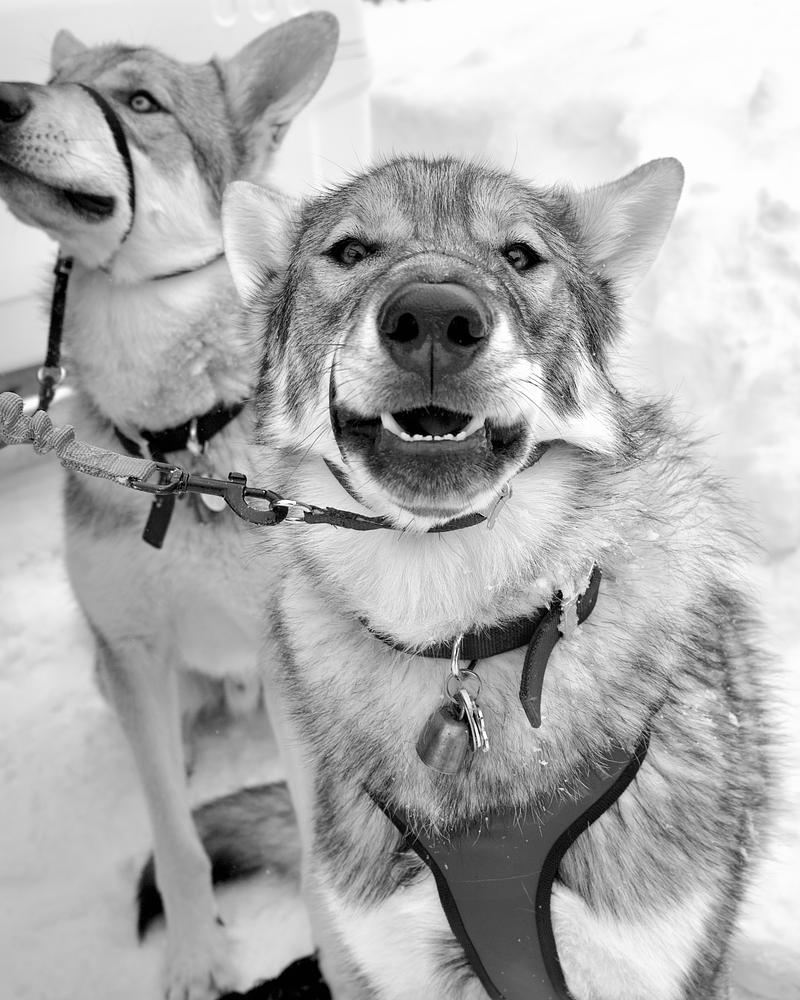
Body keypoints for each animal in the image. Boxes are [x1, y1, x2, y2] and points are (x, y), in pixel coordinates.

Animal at [0, 14, 338, 1000]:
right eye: (59, 77)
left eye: (140, 102)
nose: (0, 97)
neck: (176, 451)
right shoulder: (134, 646)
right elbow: (176, 842)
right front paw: (196, 958)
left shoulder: (281, 651)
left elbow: (316, 847)